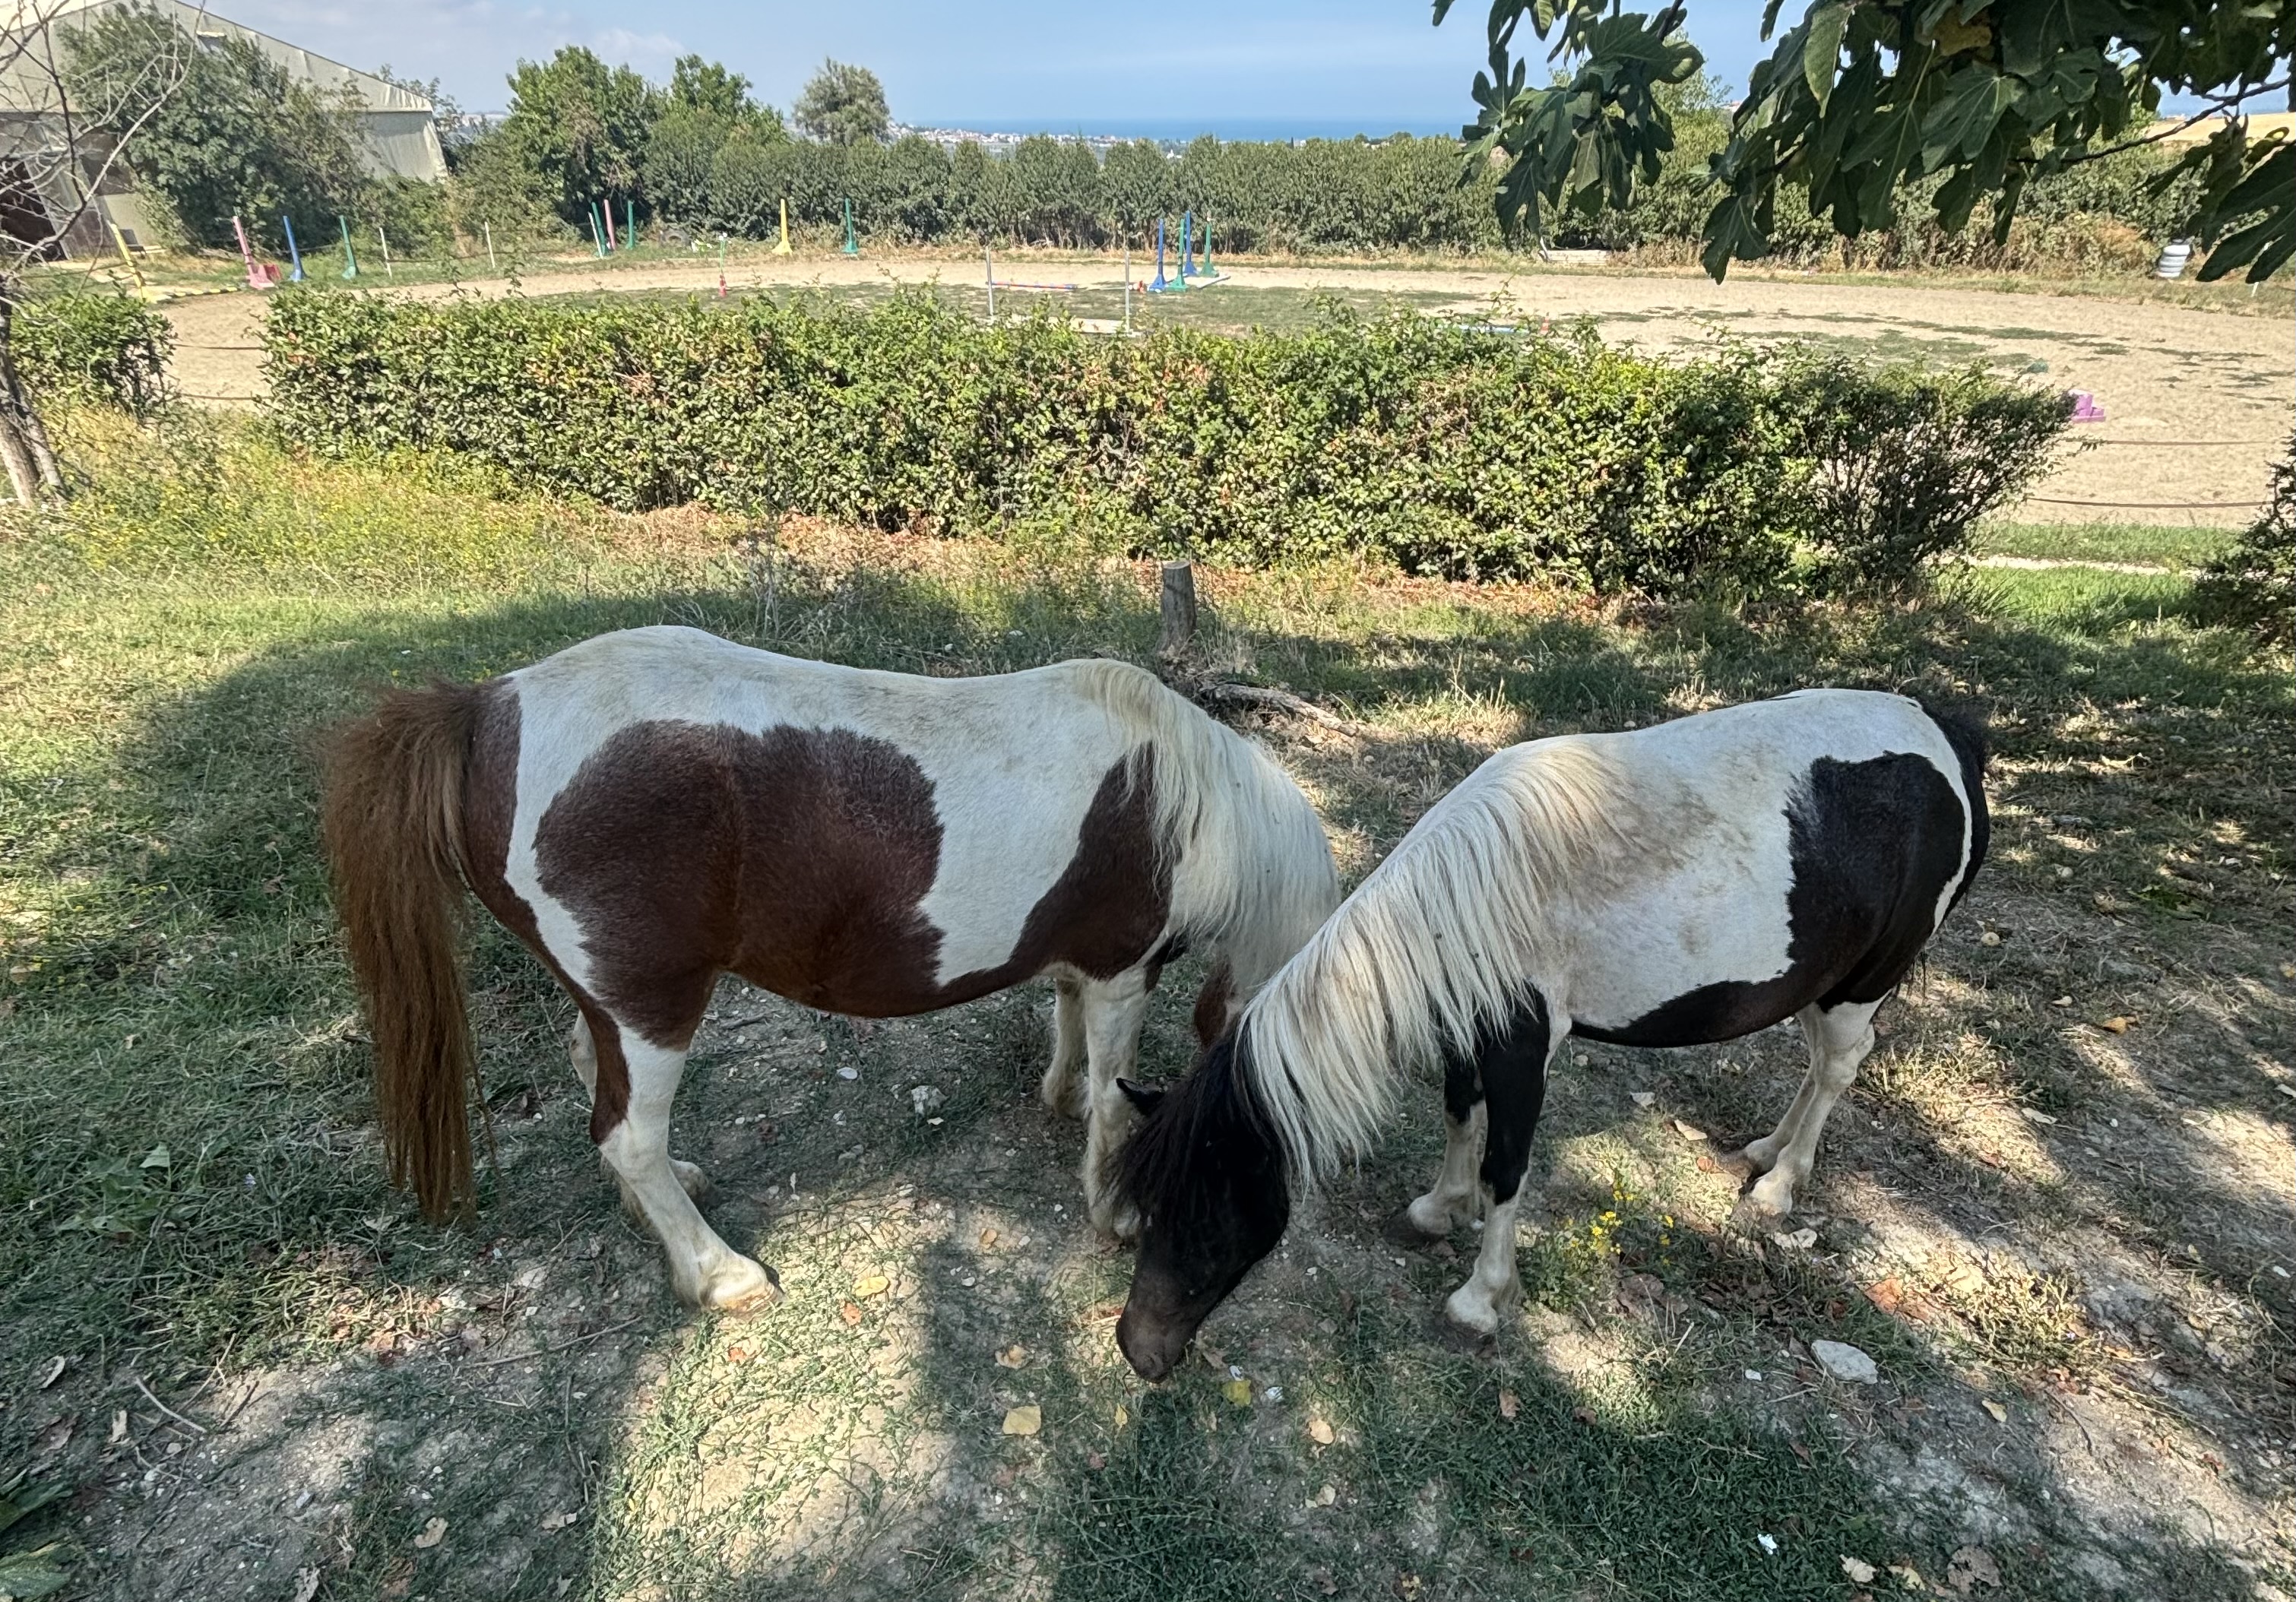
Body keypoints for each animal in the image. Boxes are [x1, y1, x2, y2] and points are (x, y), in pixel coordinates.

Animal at [321, 625, 1338, 1311]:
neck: (1184, 803)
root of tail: (485, 709)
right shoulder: (1125, 969)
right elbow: (1116, 1092)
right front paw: (1114, 1210)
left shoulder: (1082, 964)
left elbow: (1070, 1031)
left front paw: (1060, 1095)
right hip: (654, 1005)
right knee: (627, 1134)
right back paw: (720, 1274)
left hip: (613, 993)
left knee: (600, 1087)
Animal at [1111, 688, 1988, 1381]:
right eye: (1145, 1205)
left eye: (1210, 1219)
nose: (1138, 1352)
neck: (1466, 899)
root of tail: (1948, 735)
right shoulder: (1466, 1027)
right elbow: (1458, 1117)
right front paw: (1436, 1209)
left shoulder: (1521, 1049)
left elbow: (1505, 1169)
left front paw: (1478, 1299)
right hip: (1823, 983)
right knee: (1814, 1064)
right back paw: (1763, 1153)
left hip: (1863, 985)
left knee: (1839, 1067)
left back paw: (1779, 1188)